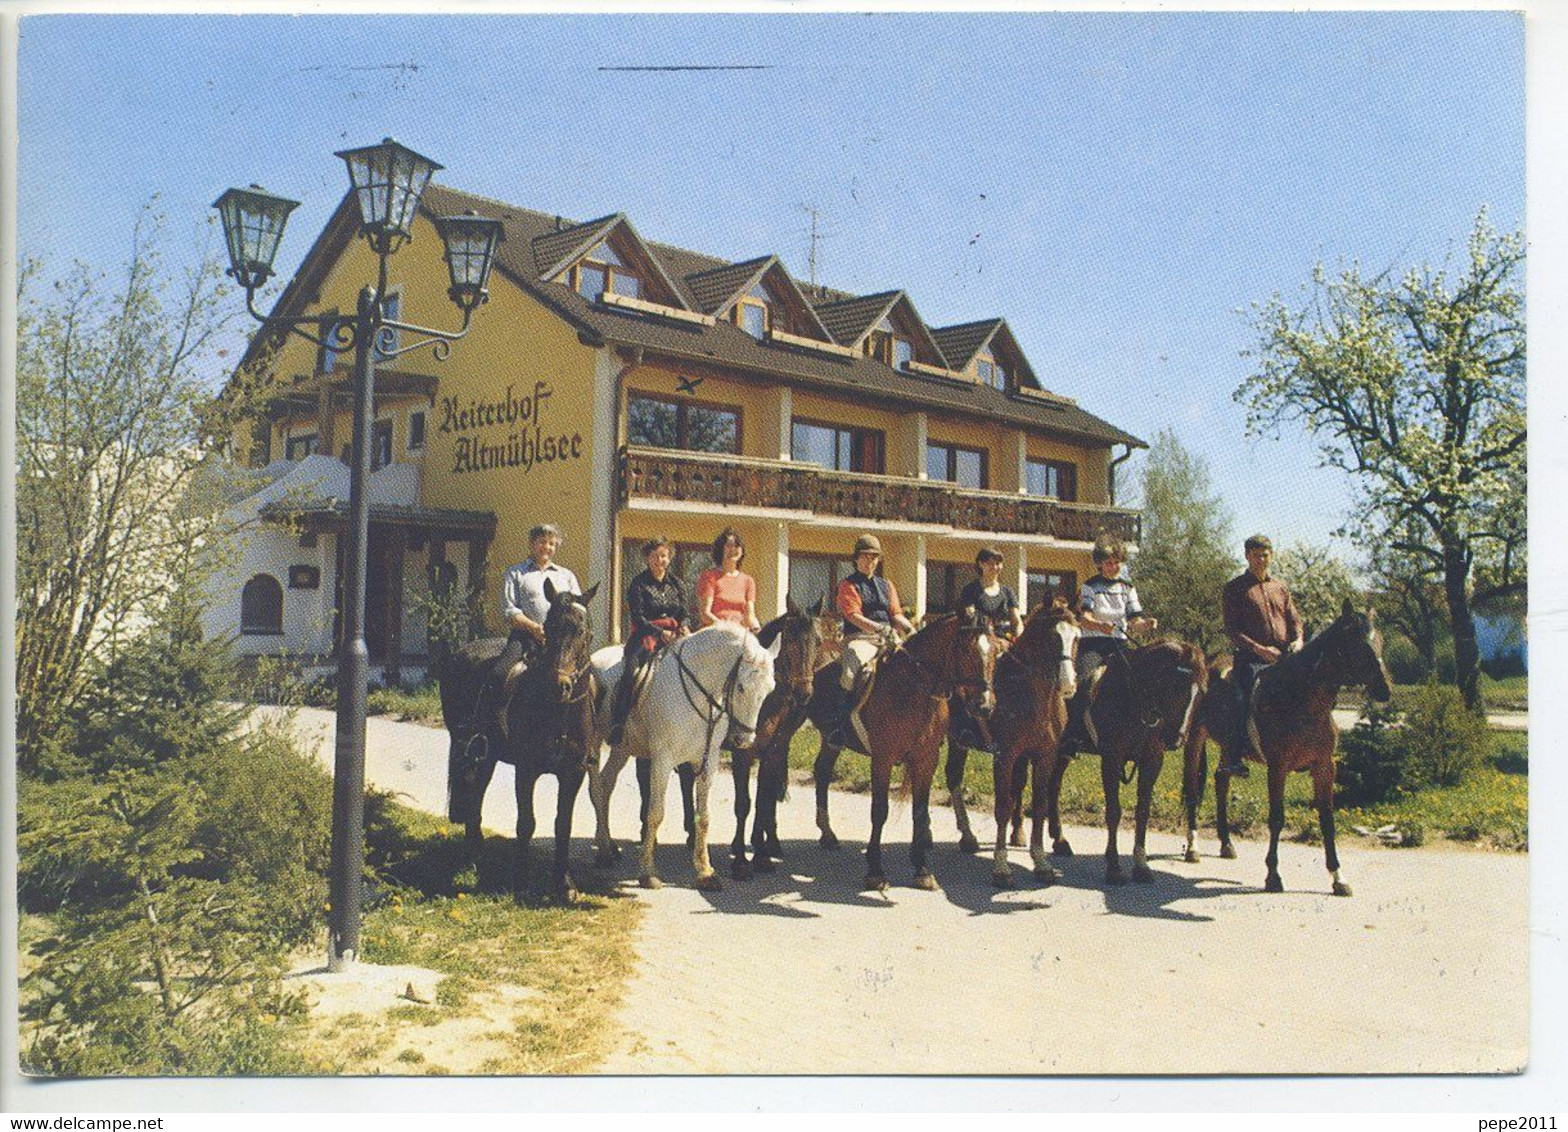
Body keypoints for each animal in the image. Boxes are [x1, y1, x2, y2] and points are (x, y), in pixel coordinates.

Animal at [586, 620, 780, 884]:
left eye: (770, 689)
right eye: (741, 687)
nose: (743, 739)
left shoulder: (708, 761)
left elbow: (704, 817)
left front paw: (705, 871)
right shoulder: (662, 760)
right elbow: (655, 813)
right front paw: (648, 872)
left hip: (622, 749)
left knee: (606, 785)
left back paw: (608, 845)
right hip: (594, 744)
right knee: (596, 789)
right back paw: (604, 853)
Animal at [809, 608, 990, 890]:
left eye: (992, 650)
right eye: (967, 650)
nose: (984, 705)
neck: (911, 687)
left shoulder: (927, 758)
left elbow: (920, 811)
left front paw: (922, 868)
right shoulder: (882, 758)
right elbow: (879, 810)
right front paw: (875, 870)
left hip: (830, 741)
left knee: (822, 772)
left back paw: (827, 834)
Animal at [934, 595, 1085, 884]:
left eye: (1077, 637)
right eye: (1052, 636)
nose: (1068, 684)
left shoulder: (1044, 757)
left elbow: (1039, 805)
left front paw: (1041, 862)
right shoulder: (1005, 757)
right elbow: (1003, 806)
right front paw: (1001, 867)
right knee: (952, 777)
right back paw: (962, 835)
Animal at [1053, 633, 1210, 884]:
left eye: (1202, 692)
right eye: (1173, 687)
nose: (1175, 739)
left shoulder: (1152, 761)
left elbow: (1142, 811)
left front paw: (1141, 865)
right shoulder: (1111, 759)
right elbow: (1114, 812)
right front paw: (1114, 866)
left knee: (1053, 786)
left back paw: (1059, 841)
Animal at [1179, 598, 1392, 890]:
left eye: (1380, 640)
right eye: (1358, 645)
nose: (1385, 689)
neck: (1301, 700)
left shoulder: (1325, 767)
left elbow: (1327, 819)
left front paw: (1338, 877)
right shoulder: (1277, 768)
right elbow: (1277, 818)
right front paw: (1273, 875)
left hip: (1226, 749)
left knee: (1221, 782)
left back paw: (1226, 843)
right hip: (1194, 741)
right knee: (1192, 791)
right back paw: (1193, 848)